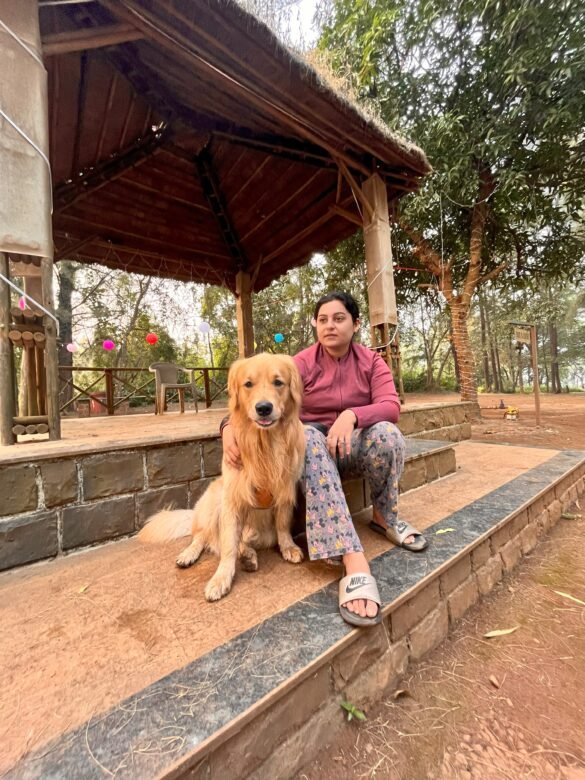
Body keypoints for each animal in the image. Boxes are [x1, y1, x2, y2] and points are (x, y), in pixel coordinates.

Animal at [139, 352, 306, 601]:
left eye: (278, 382)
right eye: (248, 384)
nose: (263, 408)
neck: (264, 445)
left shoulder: (285, 490)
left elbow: (283, 525)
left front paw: (288, 547)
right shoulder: (233, 500)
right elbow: (227, 548)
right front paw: (221, 579)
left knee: (235, 542)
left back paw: (248, 555)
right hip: (214, 501)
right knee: (205, 537)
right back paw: (190, 554)